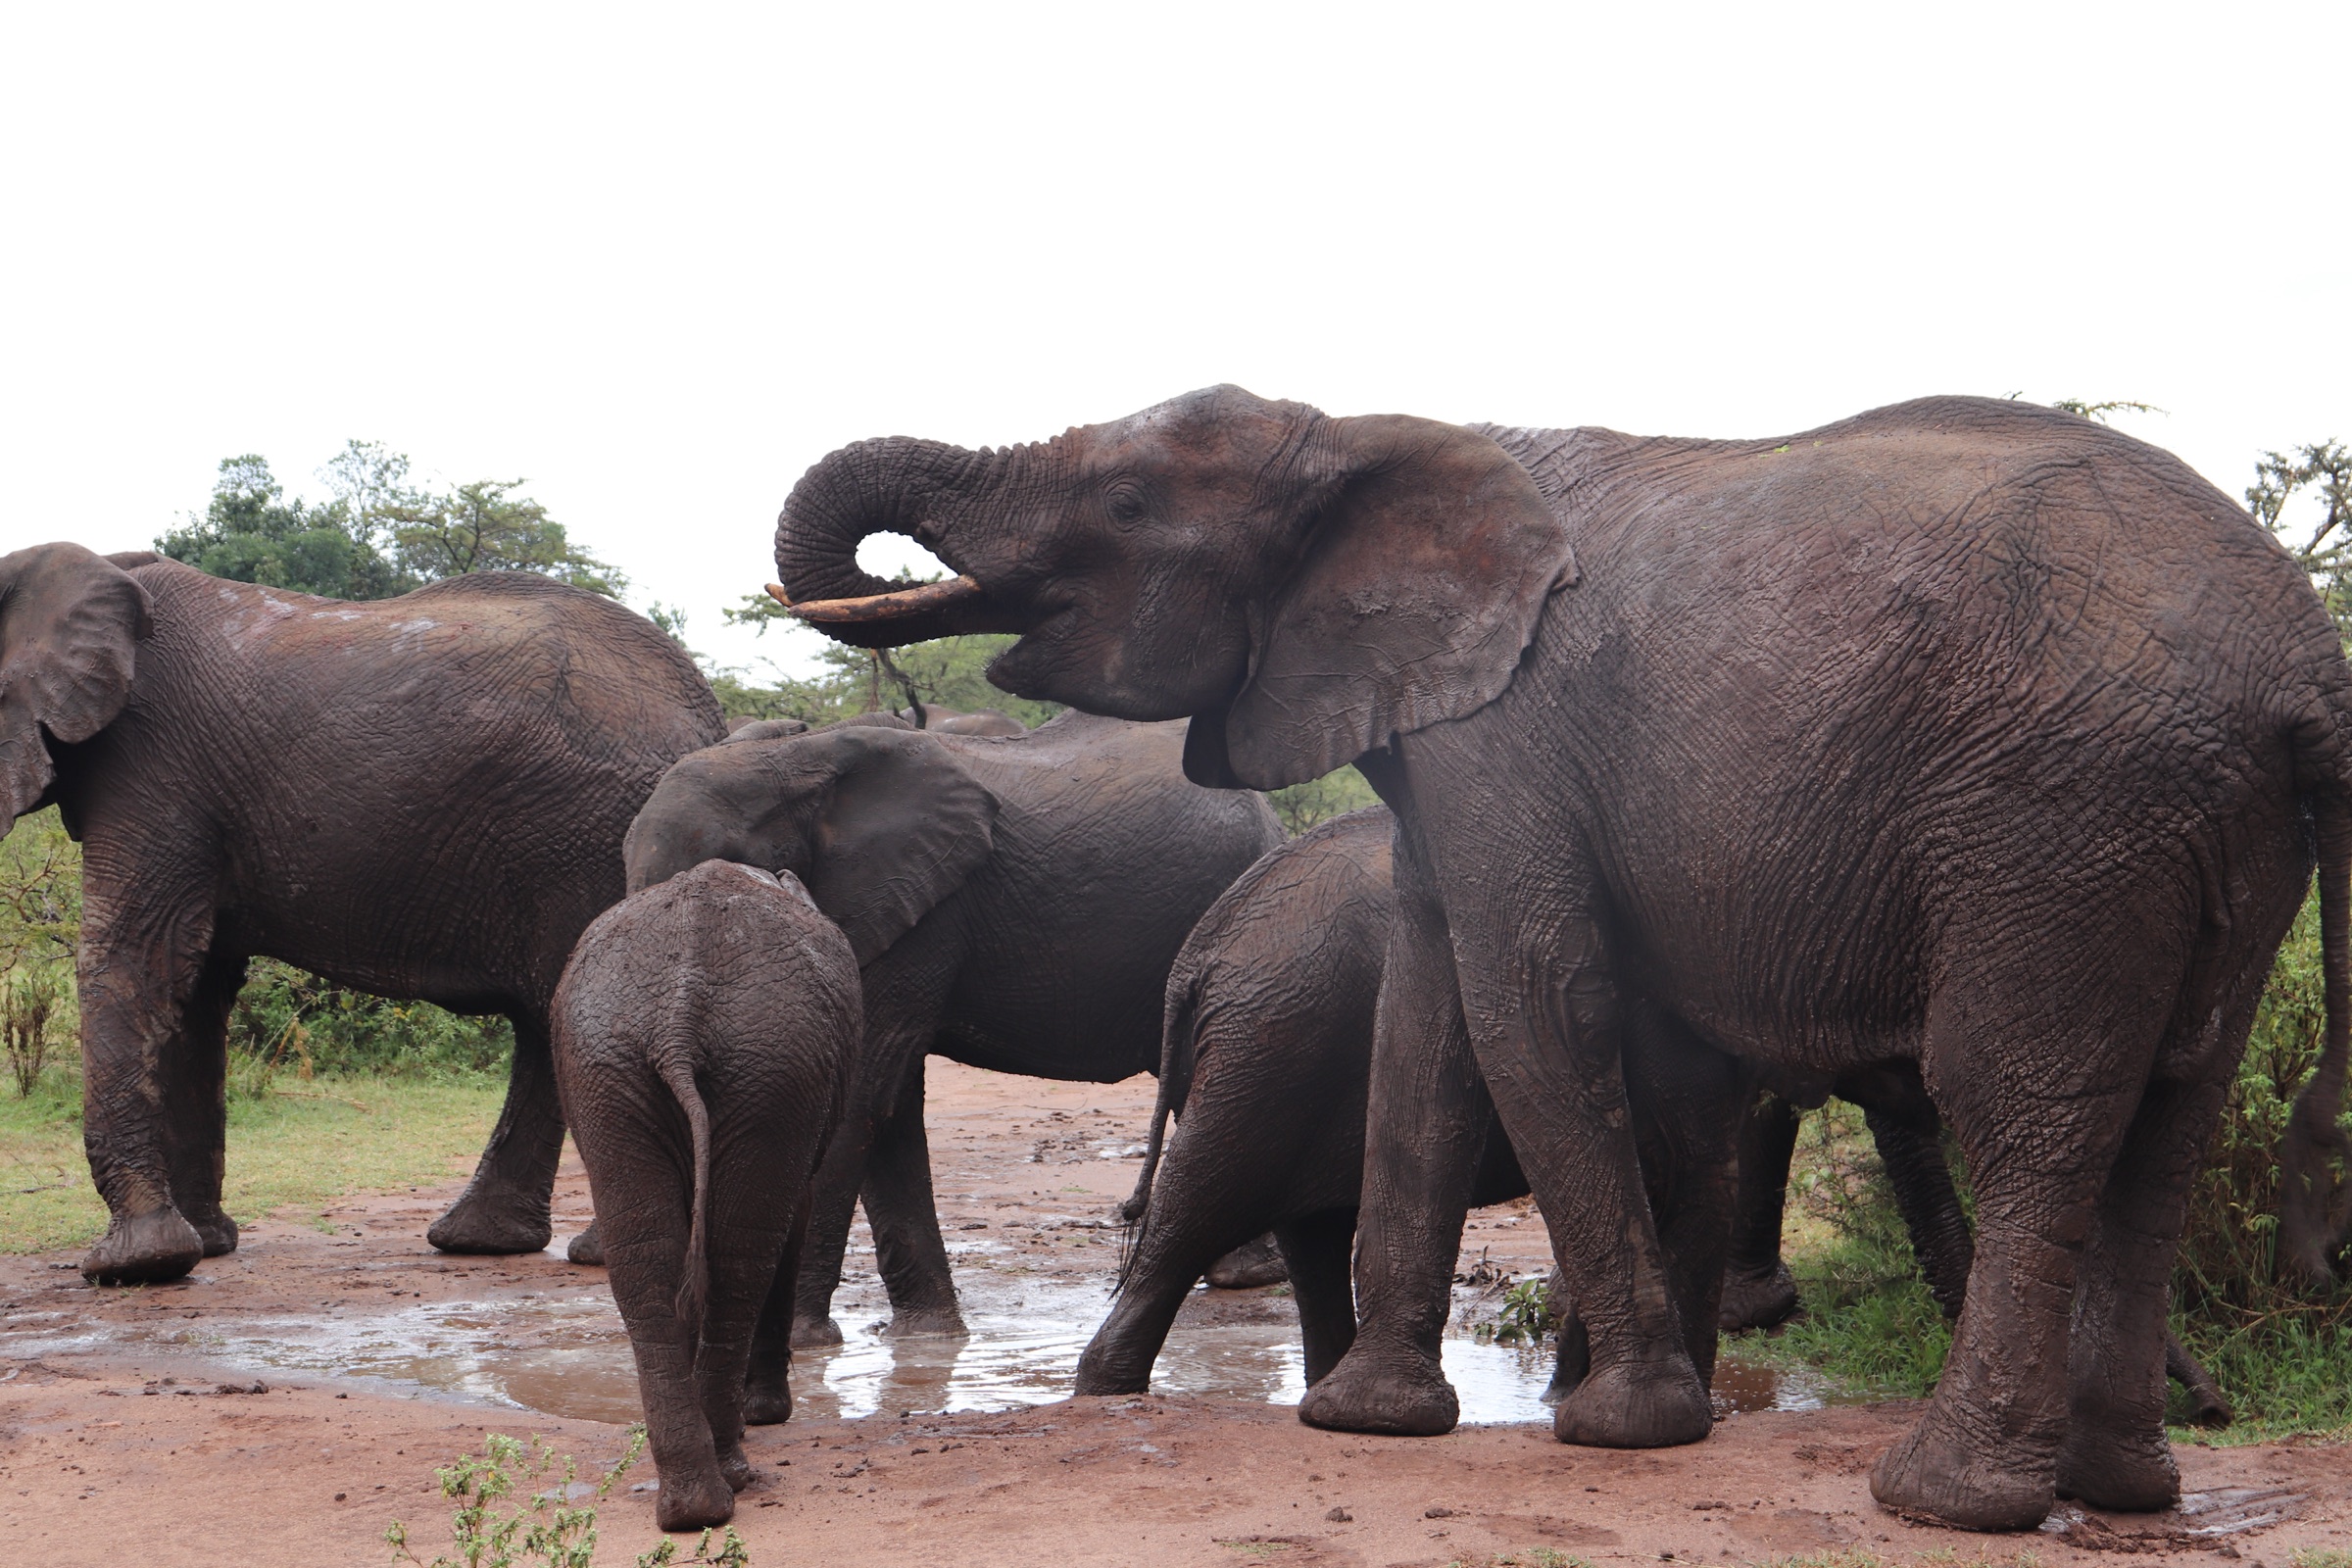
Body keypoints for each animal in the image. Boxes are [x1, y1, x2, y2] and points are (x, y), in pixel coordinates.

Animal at [0, 542, 725, 1284]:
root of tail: (709, 714)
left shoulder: (155, 768)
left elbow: (137, 959)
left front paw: (136, 1265)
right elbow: (198, 984)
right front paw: (205, 1244)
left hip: (593, 836)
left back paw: (592, 1255)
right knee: (544, 1021)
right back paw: (482, 1241)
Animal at [553, 858, 859, 1532]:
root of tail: (679, 1011)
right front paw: (766, 1413)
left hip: (616, 1064)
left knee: (649, 1260)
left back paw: (690, 1506)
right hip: (767, 1066)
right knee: (742, 1259)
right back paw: (729, 1479)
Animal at [615, 709, 1282, 1366]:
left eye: (728, 872)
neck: (793, 759)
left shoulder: (918, 912)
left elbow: (858, 1101)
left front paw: (802, 1343)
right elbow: (890, 1112)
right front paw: (928, 1338)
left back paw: (1247, 1275)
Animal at [769, 388, 2352, 1530]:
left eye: (1126, 503)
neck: (1363, 433)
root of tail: (2310, 665)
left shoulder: (1509, 732)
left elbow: (1525, 994)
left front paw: (1621, 1429)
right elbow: (1427, 1013)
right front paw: (1370, 1419)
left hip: (2061, 817)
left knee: (2025, 1108)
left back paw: (1948, 1501)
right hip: (2210, 828)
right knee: (2176, 1107)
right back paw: (2122, 1488)